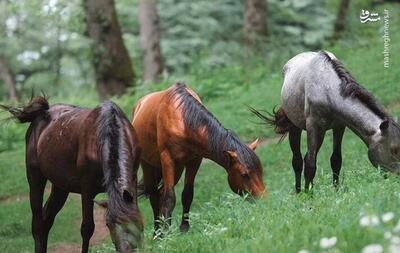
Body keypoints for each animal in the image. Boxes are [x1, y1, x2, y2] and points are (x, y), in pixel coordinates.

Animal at [0, 97, 144, 253]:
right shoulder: (87, 187)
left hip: (60, 187)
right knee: (37, 223)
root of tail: (41, 114)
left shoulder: (132, 180)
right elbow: (87, 228)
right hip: (35, 177)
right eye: (108, 225)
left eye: (137, 224)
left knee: (47, 219)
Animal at [133, 83, 268, 235]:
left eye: (260, 171)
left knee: (161, 193)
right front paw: (165, 234)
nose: (263, 199)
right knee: (155, 196)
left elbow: (187, 194)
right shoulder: (167, 159)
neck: (182, 119)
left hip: (178, 168)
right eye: (244, 174)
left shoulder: (194, 161)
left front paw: (184, 228)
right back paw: (157, 232)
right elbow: (170, 198)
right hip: (148, 165)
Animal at [252, 52, 400, 194]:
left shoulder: (339, 126)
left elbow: (336, 160)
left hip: (322, 133)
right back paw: (299, 192)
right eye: (394, 150)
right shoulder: (313, 126)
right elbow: (310, 164)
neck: (327, 90)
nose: (398, 178)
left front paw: (336, 190)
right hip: (296, 127)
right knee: (298, 160)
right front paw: (308, 196)